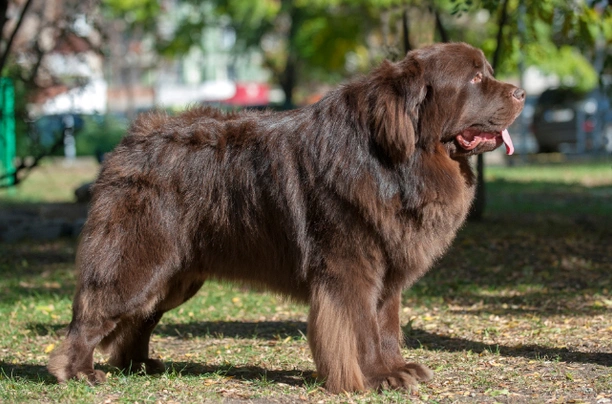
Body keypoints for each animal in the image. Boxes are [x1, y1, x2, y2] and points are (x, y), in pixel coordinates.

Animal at [50, 43, 524, 392]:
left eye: (488, 71)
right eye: (476, 79)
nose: (520, 92)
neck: (396, 161)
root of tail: (130, 139)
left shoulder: (387, 268)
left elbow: (387, 325)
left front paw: (397, 369)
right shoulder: (351, 268)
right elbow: (363, 329)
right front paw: (377, 377)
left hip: (175, 275)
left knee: (139, 320)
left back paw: (141, 365)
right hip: (140, 262)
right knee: (95, 313)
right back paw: (78, 372)